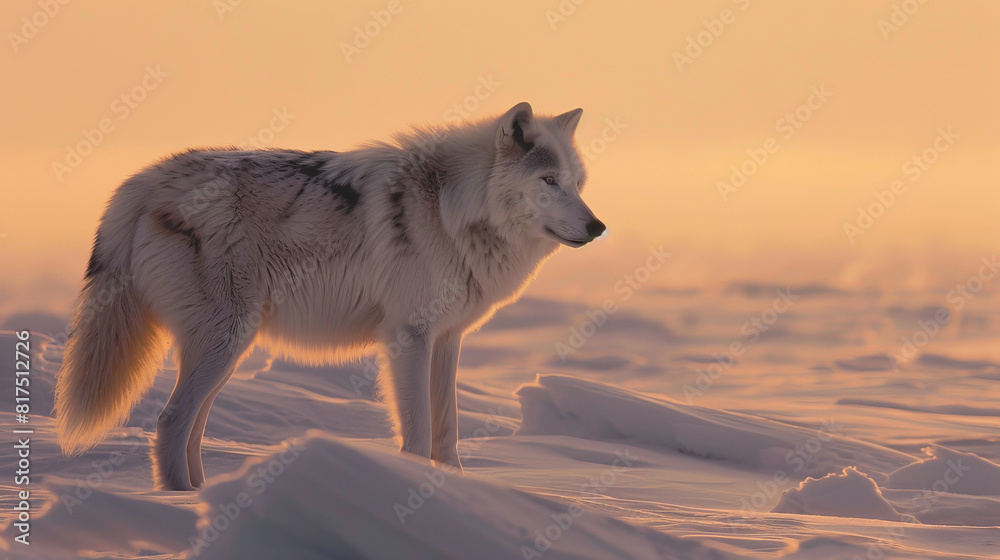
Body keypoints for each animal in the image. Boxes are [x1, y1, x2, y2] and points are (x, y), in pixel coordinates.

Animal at [55, 102, 606, 490]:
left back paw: (202, 496)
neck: (452, 209)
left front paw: (456, 490)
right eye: (548, 180)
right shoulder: (409, 337)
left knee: (191, 427)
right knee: (170, 423)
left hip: (227, 349)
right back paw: (180, 506)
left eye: (578, 183)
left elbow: (447, 430)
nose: (598, 227)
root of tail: (143, 182)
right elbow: (418, 430)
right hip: (224, 343)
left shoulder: (447, 339)